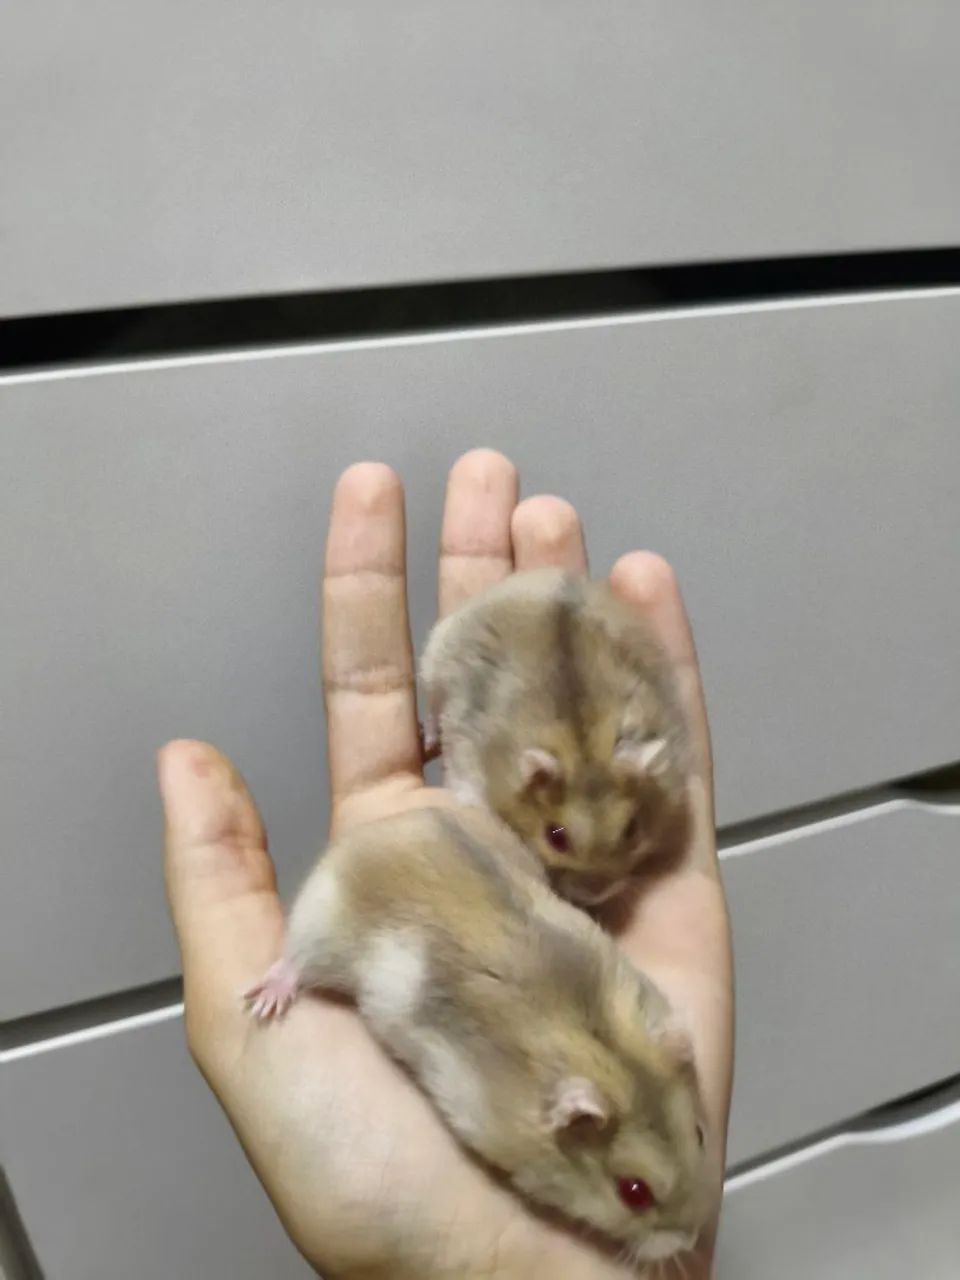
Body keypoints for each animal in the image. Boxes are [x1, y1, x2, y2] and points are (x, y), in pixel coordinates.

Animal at [244, 806, 708, 1264]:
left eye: (701, 1135)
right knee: (295, 964)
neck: (607, 1053)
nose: (689, 1240)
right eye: (634, 1193)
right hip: (320, 926)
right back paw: (266, 1001)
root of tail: (377, 831)